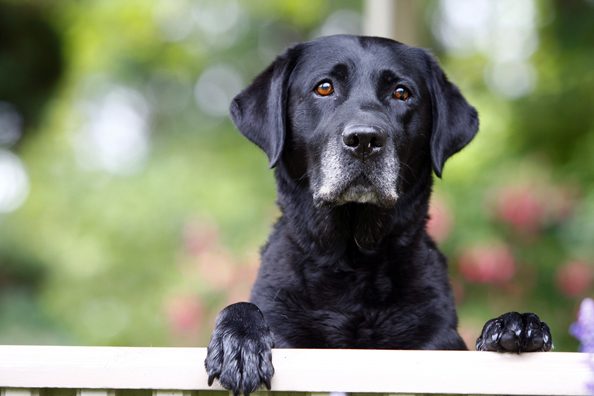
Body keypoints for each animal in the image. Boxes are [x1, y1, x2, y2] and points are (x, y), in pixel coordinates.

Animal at [204, 34, 552, 396]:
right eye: (324, 87)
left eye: (401, 92)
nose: (364, 139)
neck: (354, 263)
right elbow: (243, 308)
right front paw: (239, 342)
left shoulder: (438, 341)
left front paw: (515, 324)